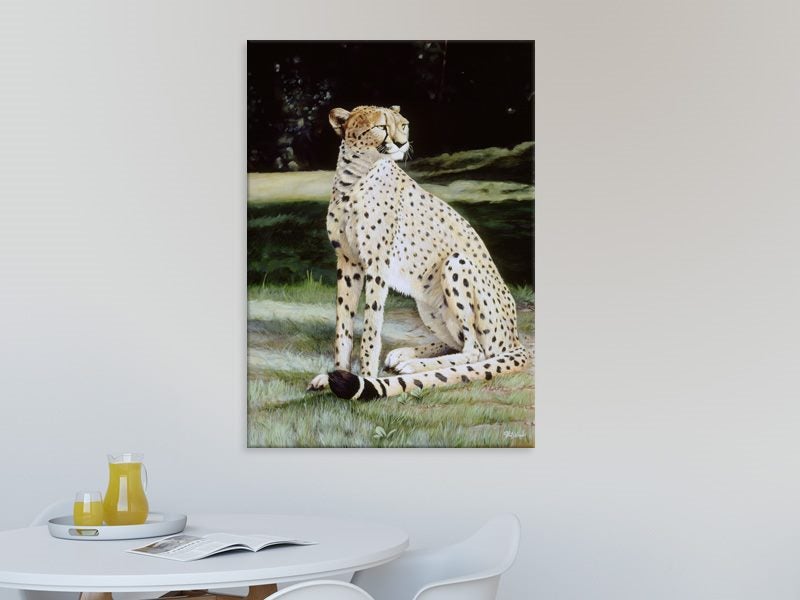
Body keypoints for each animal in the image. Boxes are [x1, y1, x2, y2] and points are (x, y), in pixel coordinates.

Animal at [306, 105, 531, 400]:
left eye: (403, 125)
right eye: (380, 127)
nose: (402, 143)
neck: (355, 177)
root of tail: (515, 336)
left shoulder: (377, 266)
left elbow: (371, 327)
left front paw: (365, 377)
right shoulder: (347, 262)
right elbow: (343, 327)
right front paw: (335, 375)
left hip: (456, 264)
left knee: (477, 351)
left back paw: (414, 366)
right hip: (426, 302)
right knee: (461, 343)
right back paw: (405, 356)